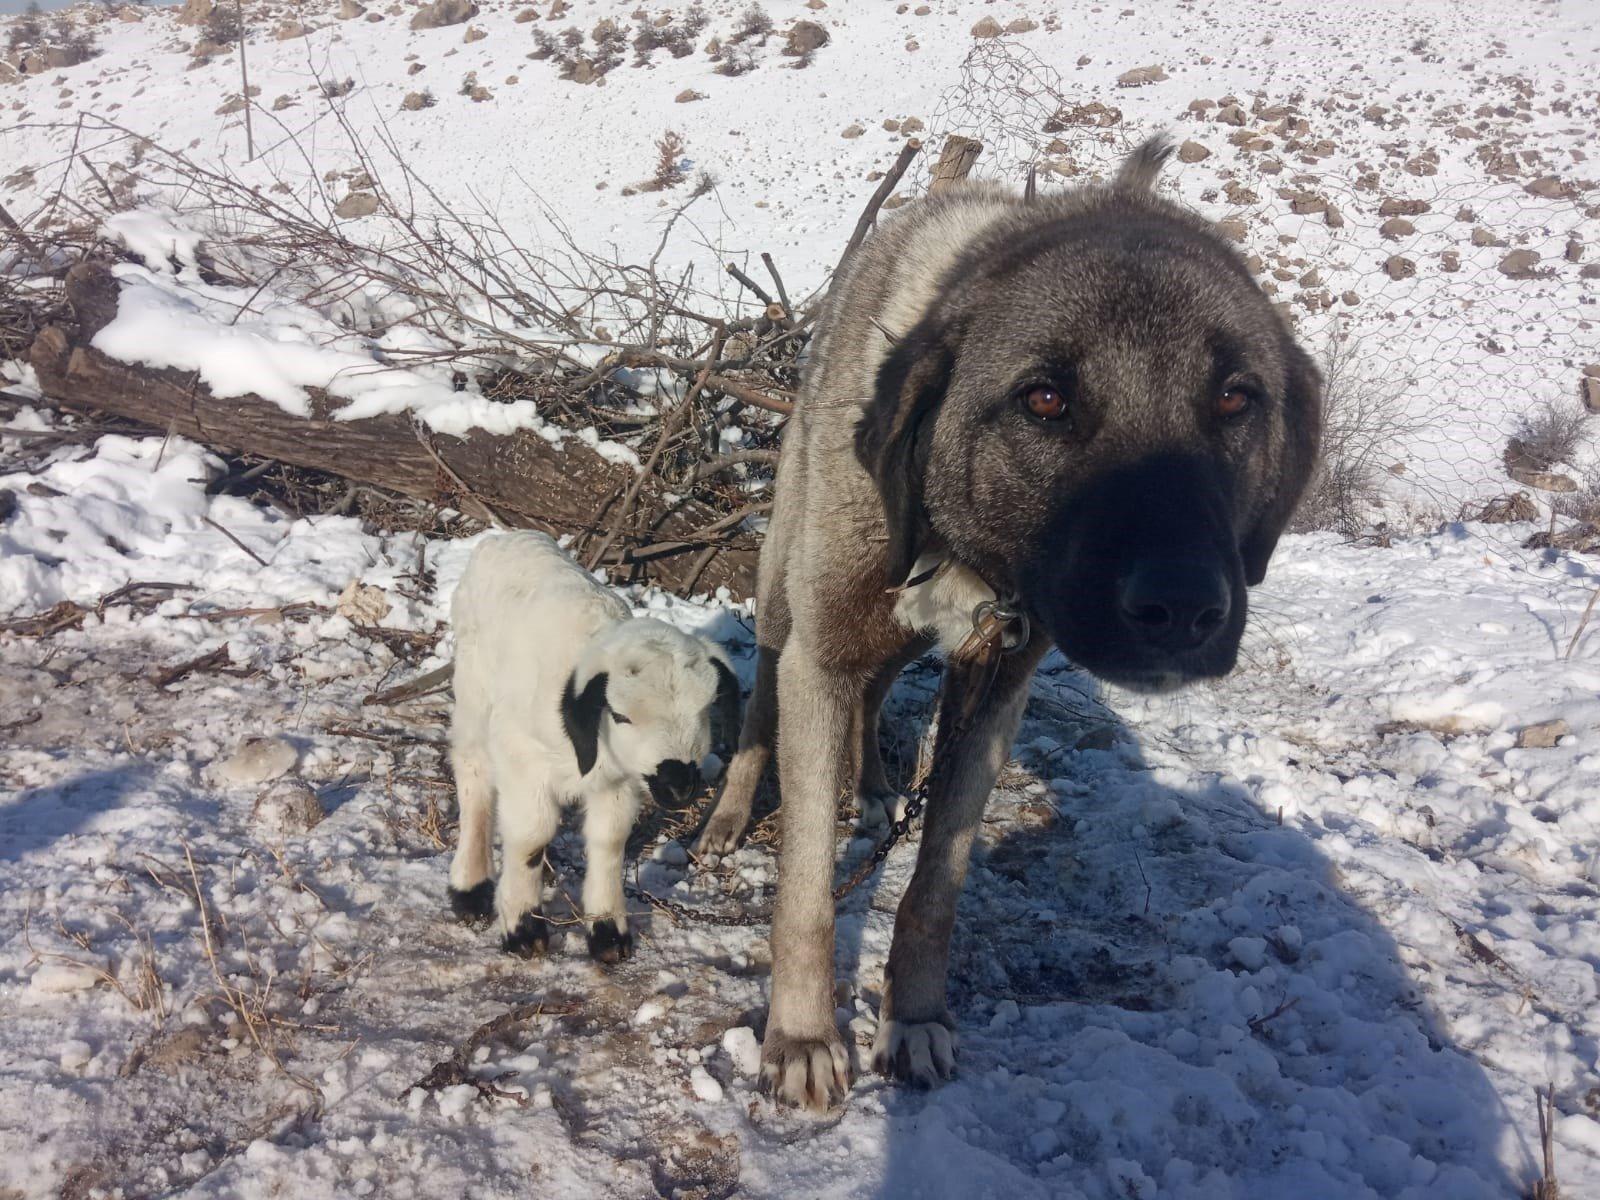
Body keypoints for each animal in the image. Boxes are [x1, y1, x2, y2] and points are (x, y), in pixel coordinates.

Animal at [448, 531, 739, 966]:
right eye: (619, 715)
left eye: (706, 710)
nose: (678, 785)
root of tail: (505, 537)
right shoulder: (522, 758)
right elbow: (530, 838)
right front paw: (522, 928)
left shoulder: (617, 782)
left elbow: (610, 840)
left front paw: (607, 932)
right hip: (474, 686)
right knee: (474, 773)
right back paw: (469, 886)